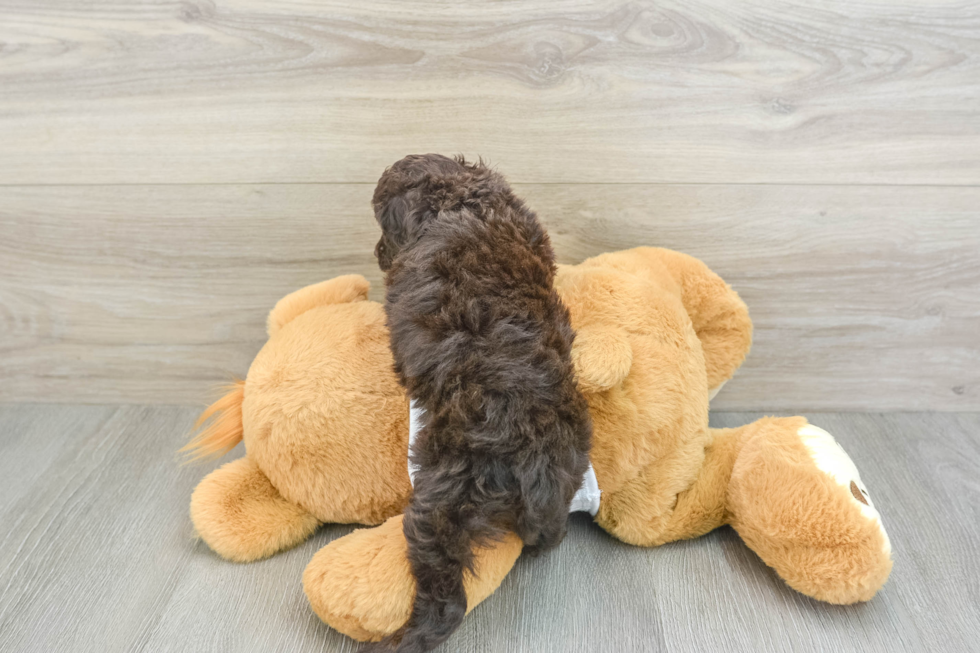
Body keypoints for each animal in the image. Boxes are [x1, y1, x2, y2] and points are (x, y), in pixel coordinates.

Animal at [364, 155, 592, 648]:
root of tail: (535, 458)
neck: (461, 200)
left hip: (442, 502)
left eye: (383, 227)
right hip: (570, 471)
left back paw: (408, 638)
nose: (377, 253)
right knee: (551, 532)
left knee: (445, 593)